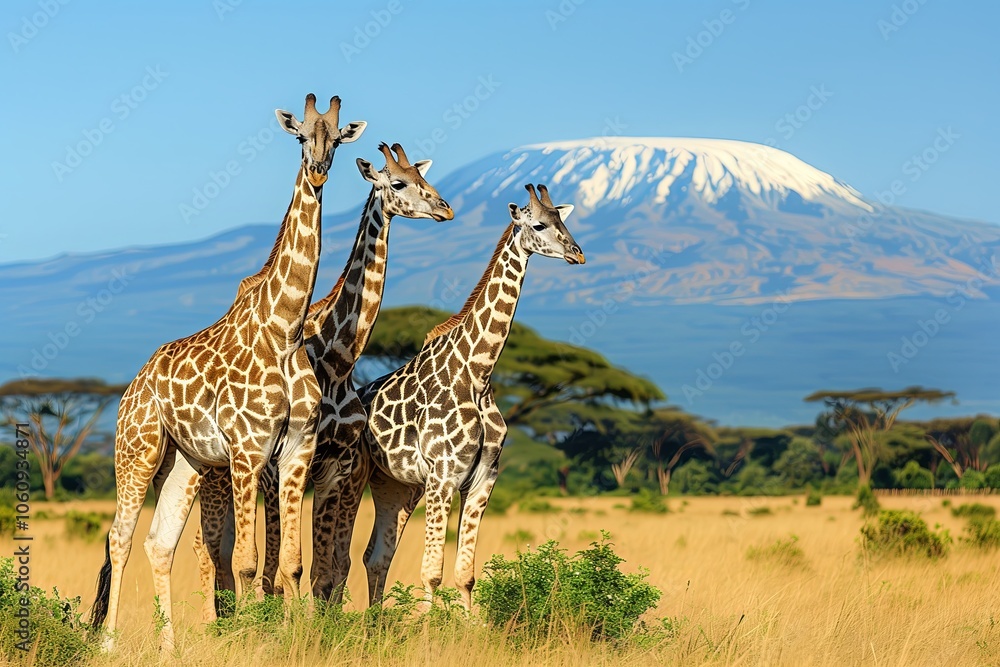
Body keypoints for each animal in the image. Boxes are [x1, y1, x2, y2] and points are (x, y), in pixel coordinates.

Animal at [89, 94, 366, 651]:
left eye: (336, 139)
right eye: (300, 136)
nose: (318, 169)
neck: (285, 330)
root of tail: (132, 386)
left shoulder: (297, 449)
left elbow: (292, 562)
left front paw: (292, 636)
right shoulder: (247, 450)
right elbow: (244, 561)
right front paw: (250, 638)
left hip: (187, 462)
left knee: (160, 542)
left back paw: (170, 647)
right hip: (138, 450)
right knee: (119, 537)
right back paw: (107, 644)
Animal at [192, 142, 455, 615]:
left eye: (423, 177)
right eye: (398, 182)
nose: (445, 208)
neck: (338, 361)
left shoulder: (337, 465)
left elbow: (325, 568)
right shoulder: (286, 466)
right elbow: (280, 566)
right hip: (225, 473)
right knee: (215, 553)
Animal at [324, 183, 584, 609]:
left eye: (563, 221)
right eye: (539, 224)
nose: (577, 253)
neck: (477, 373)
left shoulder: (482, 480)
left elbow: (465, 575)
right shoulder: (444, 475)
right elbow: (432, 572)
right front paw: (429, 627)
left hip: (398, 486)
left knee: (377, 555)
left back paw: (375, 621)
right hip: (356, 476)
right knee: (340, 556)